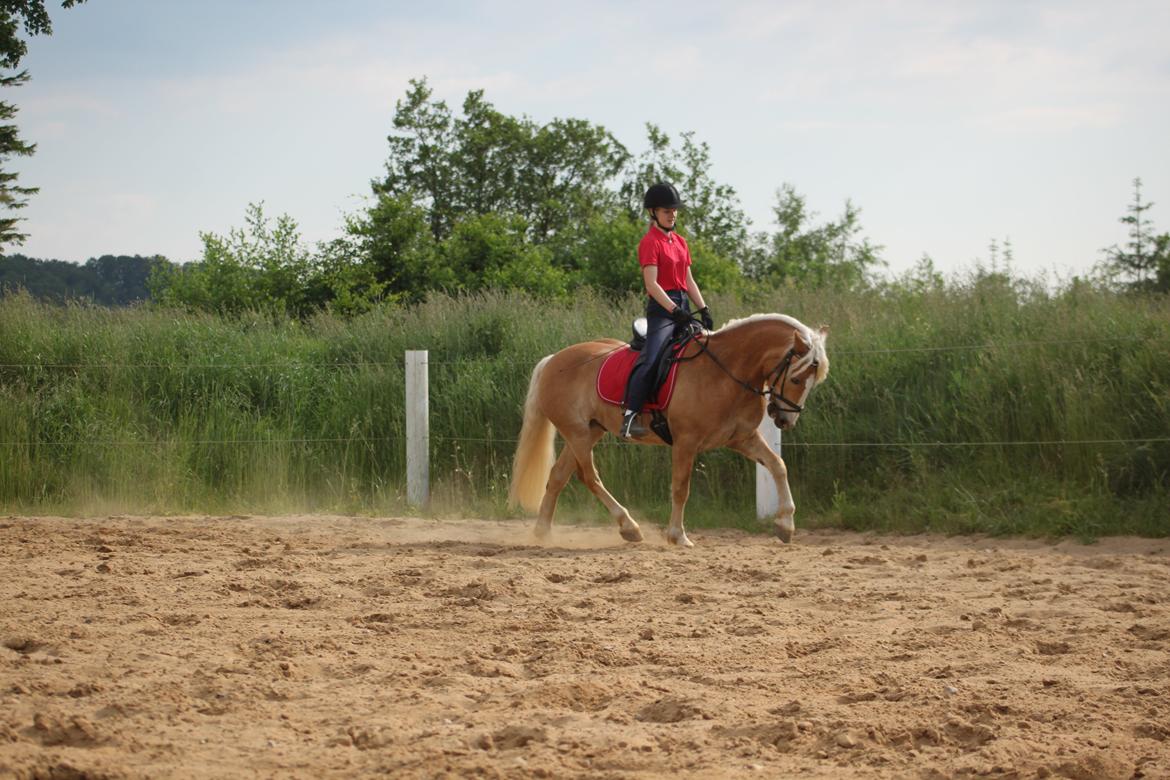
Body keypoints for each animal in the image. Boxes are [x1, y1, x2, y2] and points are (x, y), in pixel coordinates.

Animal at [512, 313, 833, 547]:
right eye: (797, 377)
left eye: (813, 380)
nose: (785, 421)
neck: (725, 371)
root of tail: (553, 359)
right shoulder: (686, 442)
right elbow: (681, 488)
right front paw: (677, 535)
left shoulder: (743, 438)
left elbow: (778, 466)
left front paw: (785, 525)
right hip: (577, 433)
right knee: (589, 477)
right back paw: (629, 527)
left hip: (590, 431)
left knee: (558, 476)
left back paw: (542, 532)